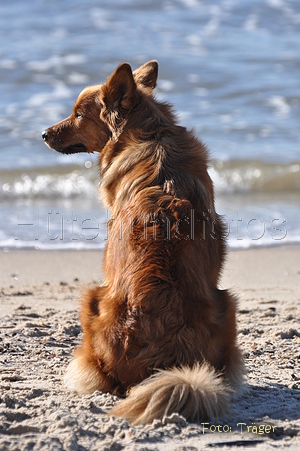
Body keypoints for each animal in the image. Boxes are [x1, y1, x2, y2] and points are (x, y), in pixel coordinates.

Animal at [42, 61, 245, 426]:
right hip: (227, 303)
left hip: (92, 296)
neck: (151, 134)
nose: (43, 134)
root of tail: (166, 365)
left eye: (78, 114)